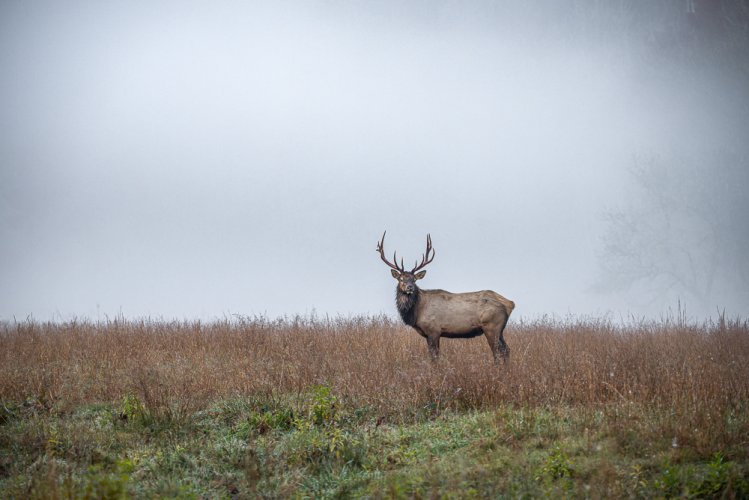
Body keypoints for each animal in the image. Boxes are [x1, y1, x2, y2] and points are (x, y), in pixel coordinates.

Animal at [374, 232, 516, 362]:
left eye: (414, 280)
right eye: (401, 279)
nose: (410, 287)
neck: (416, 313)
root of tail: (510, 303)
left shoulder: (434, 330)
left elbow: (434, 358)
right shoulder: (429, 334)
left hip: (492, 327)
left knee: (498, 352)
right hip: (499, 330)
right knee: (507, 350)